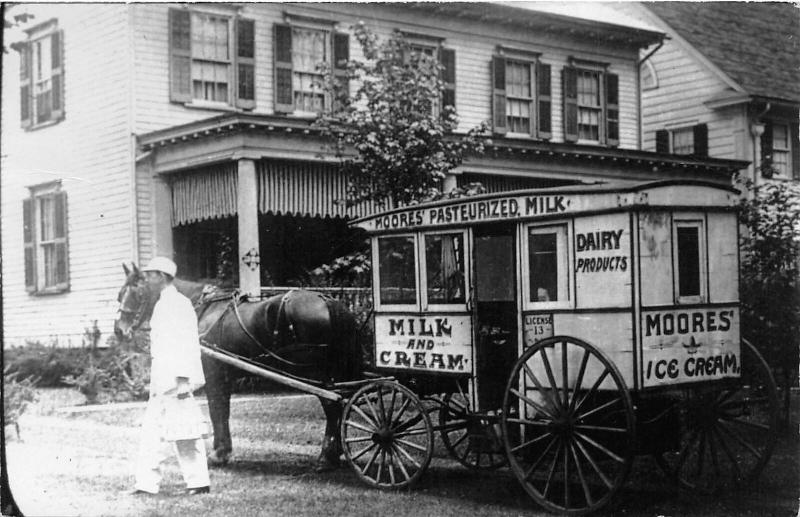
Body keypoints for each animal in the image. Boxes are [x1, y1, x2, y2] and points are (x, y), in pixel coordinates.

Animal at [113, 262, 362, 468]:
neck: (201, 309)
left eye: (135, 292)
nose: (119, 330)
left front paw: (218, 455)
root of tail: (327, 300)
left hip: (318, 375)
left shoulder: (213, 373)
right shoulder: (224, 376)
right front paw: (223, 452)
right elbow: (223, 411)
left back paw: (326, 458)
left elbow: (217, 410)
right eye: (120, 294)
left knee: (332, 407)